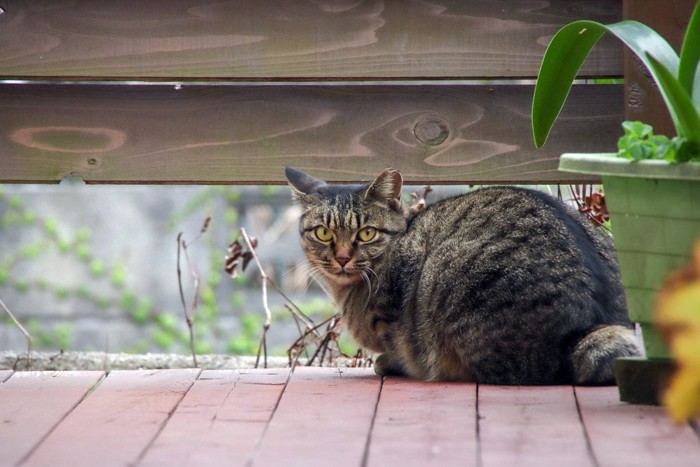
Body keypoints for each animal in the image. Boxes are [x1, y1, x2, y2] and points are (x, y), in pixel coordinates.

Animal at [284, 166, 640, 386]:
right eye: (323, 233)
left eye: (367, 233)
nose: (343, 258)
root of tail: (588, 326)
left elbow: (397, 348)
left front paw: (388, 362)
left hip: (444, 272)